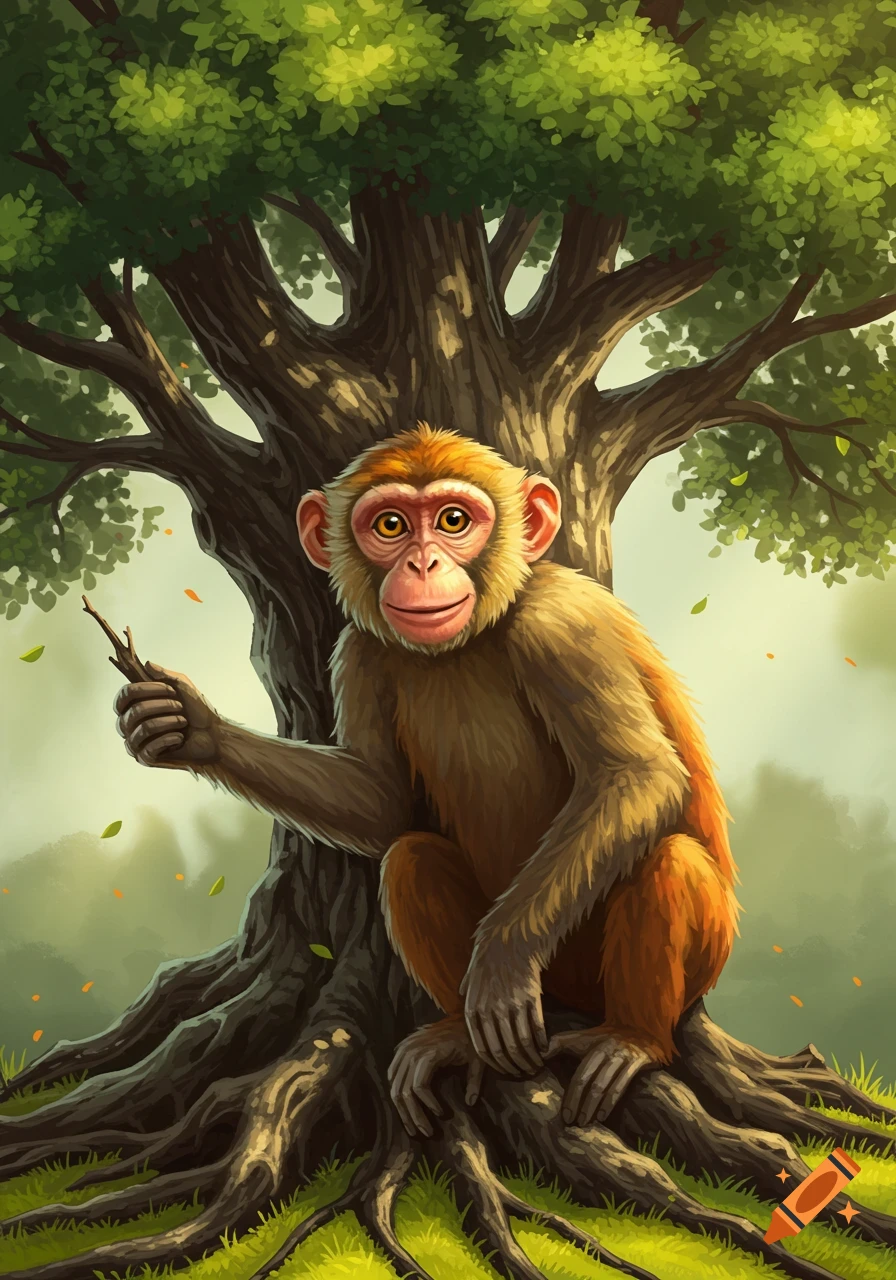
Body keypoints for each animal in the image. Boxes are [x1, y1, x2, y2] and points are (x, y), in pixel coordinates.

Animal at [113, 423, 739, 1137]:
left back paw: (632, 1039)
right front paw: (192, 727)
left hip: (685, 959)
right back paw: (458, 1039)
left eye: (453, 520)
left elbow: (634, 773)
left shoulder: (564, 623)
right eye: (390, 525)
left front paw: (500, 960)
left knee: (670, 859)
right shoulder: (358, 652)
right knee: (409, 857)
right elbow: (379, 805)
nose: (422, 564)